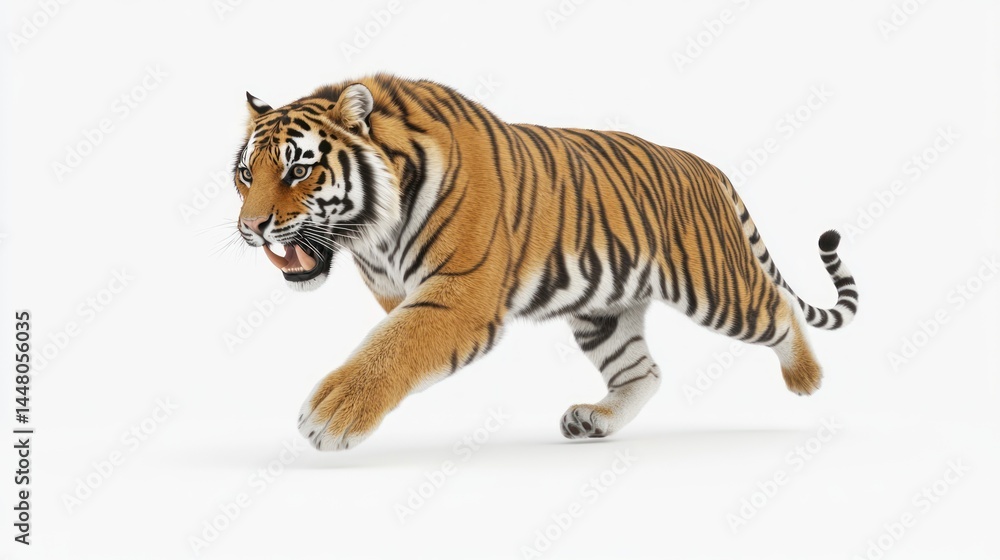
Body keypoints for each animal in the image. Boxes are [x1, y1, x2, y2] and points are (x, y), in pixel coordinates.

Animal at [232, 73, 858, 451]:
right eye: (245, 174)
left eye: (298, 170)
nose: (251, 228)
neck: (372, 234)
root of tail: (708, 167)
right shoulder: (401, 290)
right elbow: (391, 335)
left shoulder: (460, 295)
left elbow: (396, 344)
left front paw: (333, 413)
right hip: (605, 310)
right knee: (643, 370)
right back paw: (596, 420)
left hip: (715, 287)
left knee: (778, 310)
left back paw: (807, 379)